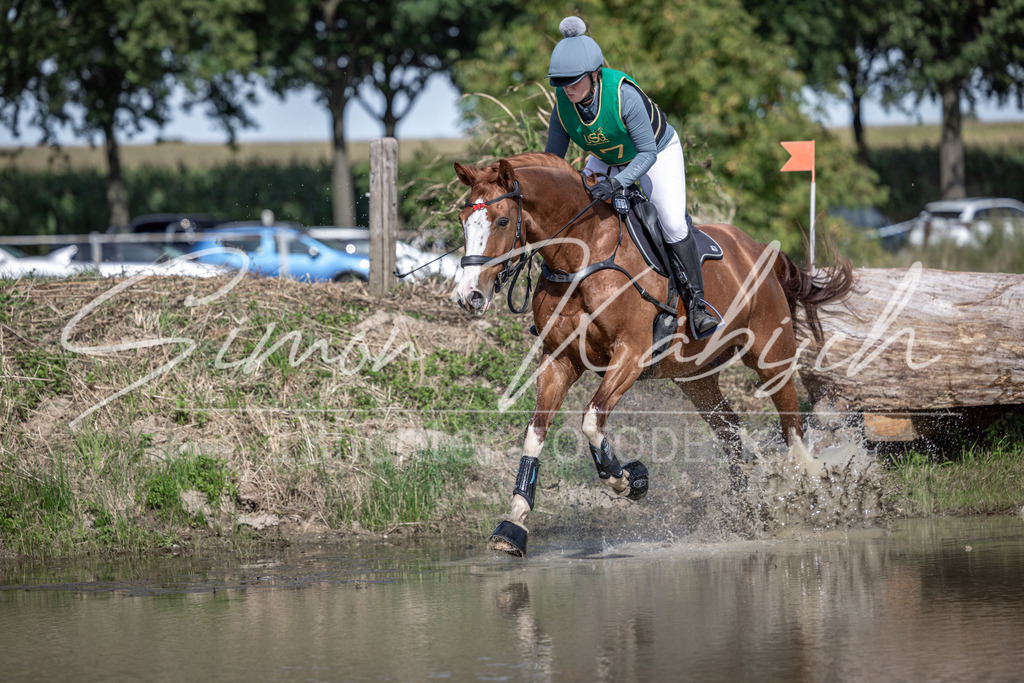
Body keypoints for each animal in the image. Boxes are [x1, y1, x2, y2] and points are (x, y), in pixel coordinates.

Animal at [452, 152, 853, 556]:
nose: (469, 295)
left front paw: (628, 481)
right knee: (730, 430)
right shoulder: (560, 359)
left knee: (792, 425)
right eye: (463, 221)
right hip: (696, 379)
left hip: (771, 354)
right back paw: (745, 511)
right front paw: (513, 524)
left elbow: (591, 420)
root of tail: (758, 249)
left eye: (503, 221)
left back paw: (808, 496)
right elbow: (536, 432)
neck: (580, 256)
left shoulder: (630, 354)